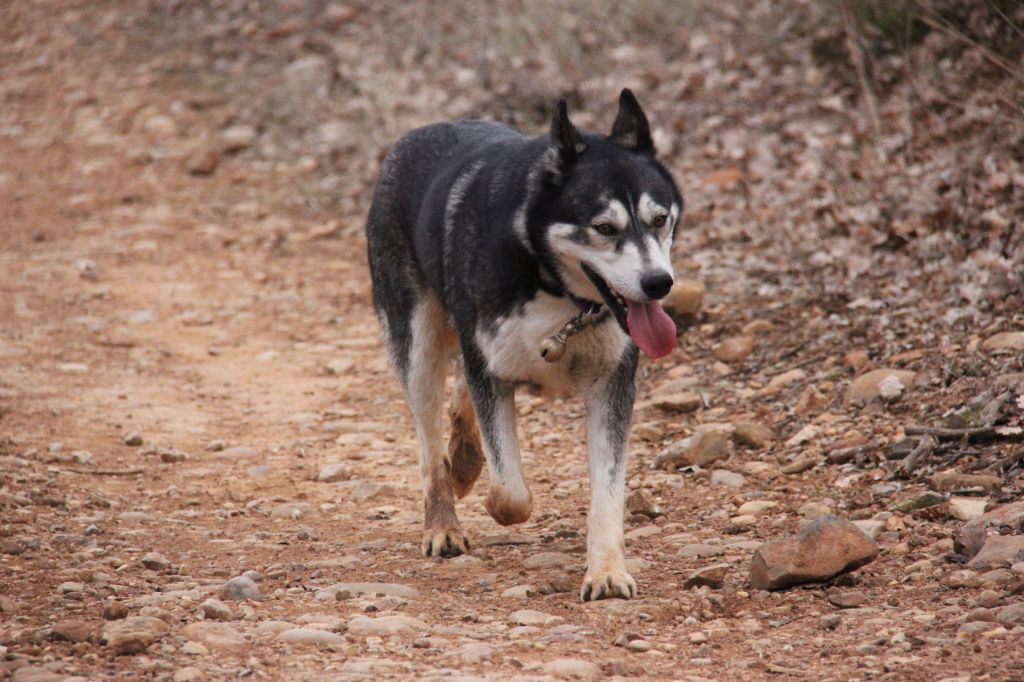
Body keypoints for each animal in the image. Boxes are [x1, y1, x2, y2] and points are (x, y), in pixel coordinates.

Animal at [366, 90, 679, 602]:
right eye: (604, 228)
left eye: (660, 220)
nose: (659, 284)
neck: (553, 284)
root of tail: (417, 134)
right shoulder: (491, 369)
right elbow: (510, 496)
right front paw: (491, 496)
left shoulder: (611, 386)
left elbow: (607, 494)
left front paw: (606, 571)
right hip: (417, 346)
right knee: (431, 444)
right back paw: (443, 522)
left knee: (460, 394)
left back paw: (465, 459)